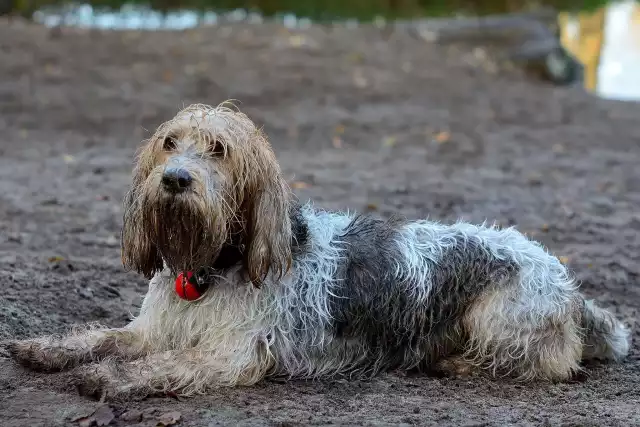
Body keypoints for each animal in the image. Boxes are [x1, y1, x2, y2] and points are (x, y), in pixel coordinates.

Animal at [8, 103, 632, 402]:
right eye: (169, 142)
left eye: (220, 149)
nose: (176, 179)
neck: (211, 268)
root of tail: (566, 281)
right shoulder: (152, 329)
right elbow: (101, 336)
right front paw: (45, 348)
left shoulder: (231, 354)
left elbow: (164, 367)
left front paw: (109, 379)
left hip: (497, 317)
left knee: (550, 364)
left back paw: (456, 361)